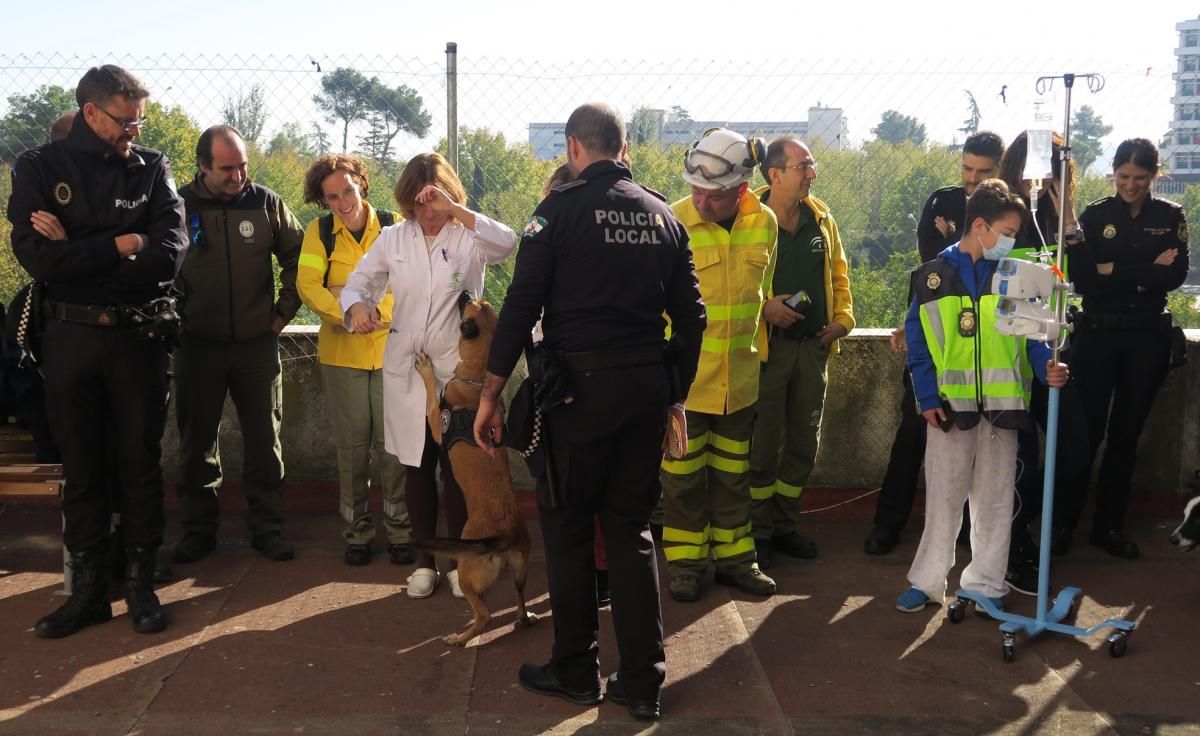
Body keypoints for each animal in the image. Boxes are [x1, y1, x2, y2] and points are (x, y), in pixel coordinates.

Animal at [417, 296, 540, 643]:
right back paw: (524, 617)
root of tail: (507, 534)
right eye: (479, 302)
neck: (480, 377)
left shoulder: (437, 423)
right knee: (520, 605)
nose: (462, 293)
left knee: (484, 614)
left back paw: (461, 638)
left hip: (469, 572)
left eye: (470, 305)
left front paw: (426, 370)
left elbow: (431, 395)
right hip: (521, 572)